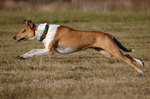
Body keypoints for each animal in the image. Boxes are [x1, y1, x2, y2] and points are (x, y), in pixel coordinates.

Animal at [13, 19, 144, 74]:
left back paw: (140, 70)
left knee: (127, 59)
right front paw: (22, 56)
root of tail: (106, 33)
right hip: (108, 54)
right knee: (127, 55)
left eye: (24, 30)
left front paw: (25, 56)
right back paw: (141, 62)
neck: (45, 31)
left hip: (112, 50)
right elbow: (32, 50)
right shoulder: (46, 49)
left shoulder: (49, 50)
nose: (14, 37)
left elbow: (35, 51)